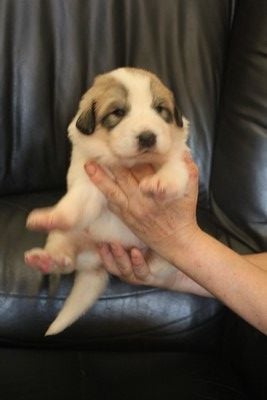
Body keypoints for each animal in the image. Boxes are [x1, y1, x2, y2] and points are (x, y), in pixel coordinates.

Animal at [24, 68, 189, 334]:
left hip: (167, 252)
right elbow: (77, 204)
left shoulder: (179, 156)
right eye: (118, 112)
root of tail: (97, 264)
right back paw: (47, 259)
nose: (147, 137)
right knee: (66, 259)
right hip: (67, 236)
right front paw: (53, 215)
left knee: (158, 267)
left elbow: (173, 166)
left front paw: (161, 183)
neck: (129, 163)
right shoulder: (89, 180)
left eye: (160, 109)